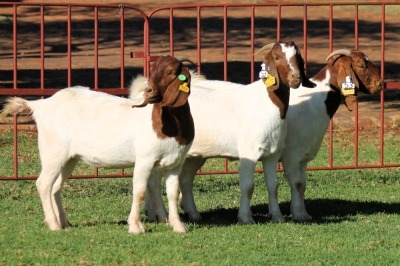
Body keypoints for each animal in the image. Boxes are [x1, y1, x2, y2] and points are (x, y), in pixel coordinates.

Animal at [0, 55, 194, 234]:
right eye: (152, 71)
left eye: (171, 72)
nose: (149, 91)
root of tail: (41, 105)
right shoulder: (144, 159)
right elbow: (139, 191)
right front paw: (135, 227)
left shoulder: (176, 162)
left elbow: (172, 193)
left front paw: (178, 226)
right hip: (53, 152)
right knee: (43, 184)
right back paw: (53, 224)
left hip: (69, 159)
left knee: (55, 187)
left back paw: (64, 223)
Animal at [138, 40, 316, 223]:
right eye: (276, 56)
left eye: (298, 56)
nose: (296, 78)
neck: (266, 103)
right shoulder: (249, 153)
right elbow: (248, 186)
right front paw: (245, 218)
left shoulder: (272, 154)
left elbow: (273, 185)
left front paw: (277, 216)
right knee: (153, 180)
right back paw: (159, 216)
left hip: (193, 155)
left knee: (185, 179)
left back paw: (191, 214)